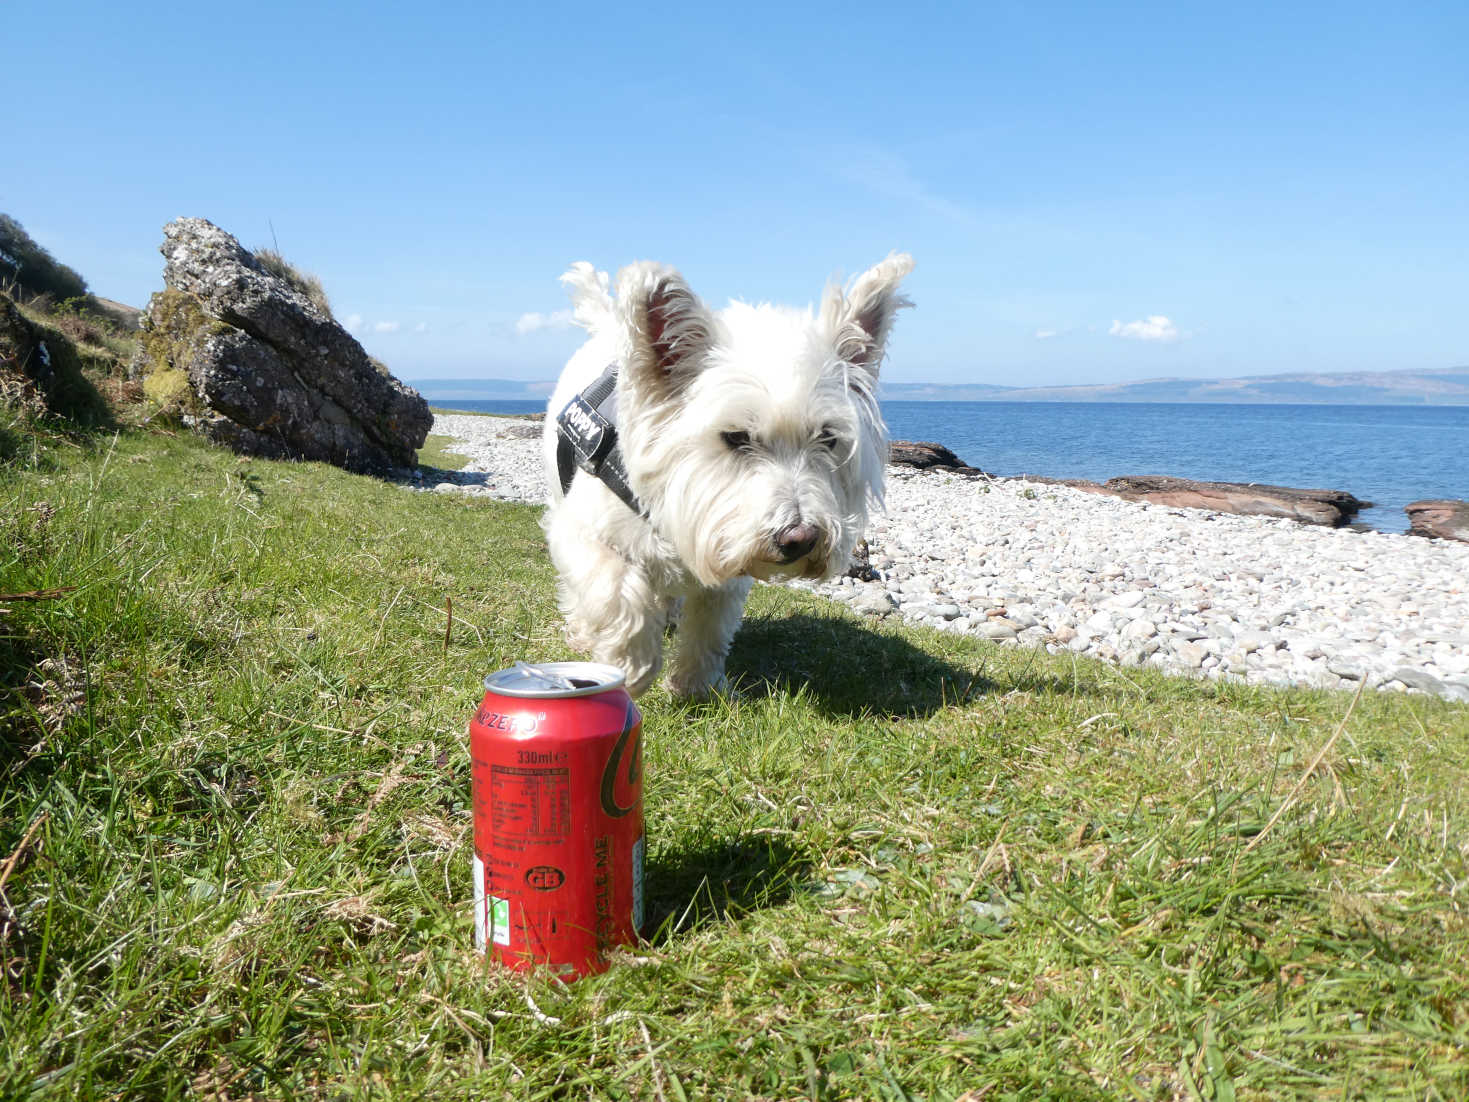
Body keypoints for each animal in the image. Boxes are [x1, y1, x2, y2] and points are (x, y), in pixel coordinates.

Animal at [537, 257, 904, 699]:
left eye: (828, 438)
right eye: (736, 436)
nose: (800, 538)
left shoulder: (726, 552)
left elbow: (710, 628)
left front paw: (697, 687)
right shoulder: (583, 533)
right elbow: (618, 593)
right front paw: (631, 669)